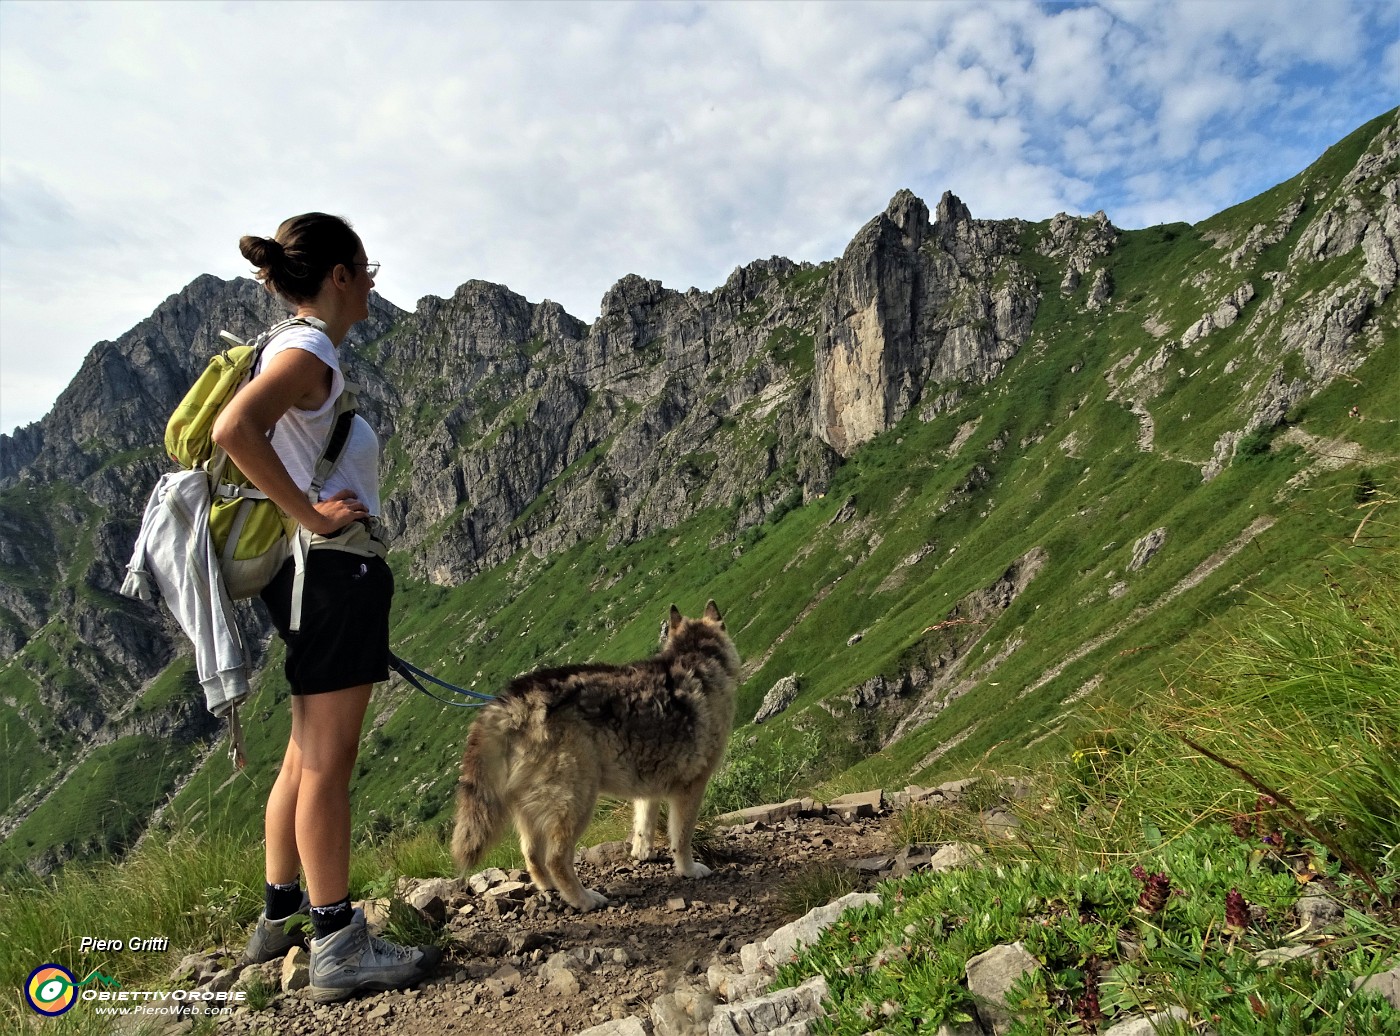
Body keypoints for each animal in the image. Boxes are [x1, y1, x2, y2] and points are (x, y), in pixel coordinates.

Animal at [456, 602, 744, 912]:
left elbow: (644, 823)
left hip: (530, 808)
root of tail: (512, 703)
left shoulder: (649, 783)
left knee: (531, 854)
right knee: (556, 858)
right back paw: (583, 899)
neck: (695, 655)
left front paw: (643, 853)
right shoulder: (692, 786)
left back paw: (549, 887)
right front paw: (688, 869)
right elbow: (682, 835)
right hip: (577, 800)